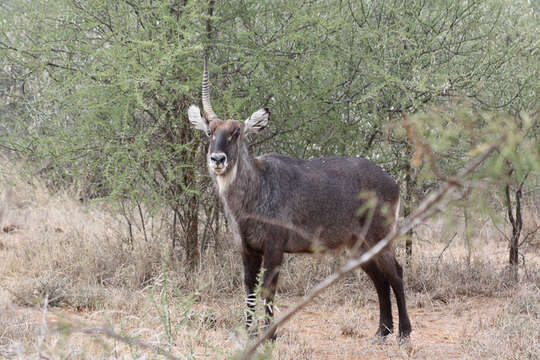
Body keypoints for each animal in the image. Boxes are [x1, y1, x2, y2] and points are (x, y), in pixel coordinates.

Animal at [188, 57, 412, 342]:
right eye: (209, 132)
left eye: (237, 132)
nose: (217, 159)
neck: (257, 187)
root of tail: (392, 182)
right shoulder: (246, 247)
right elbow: (249, 288)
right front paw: (249, 333)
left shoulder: (274, 247)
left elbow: (268, 289)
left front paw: (269, 335)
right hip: (358, 246)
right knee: (380, 280)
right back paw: (381, 333)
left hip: (379, 237)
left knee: (396, 273)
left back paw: (403, 333)